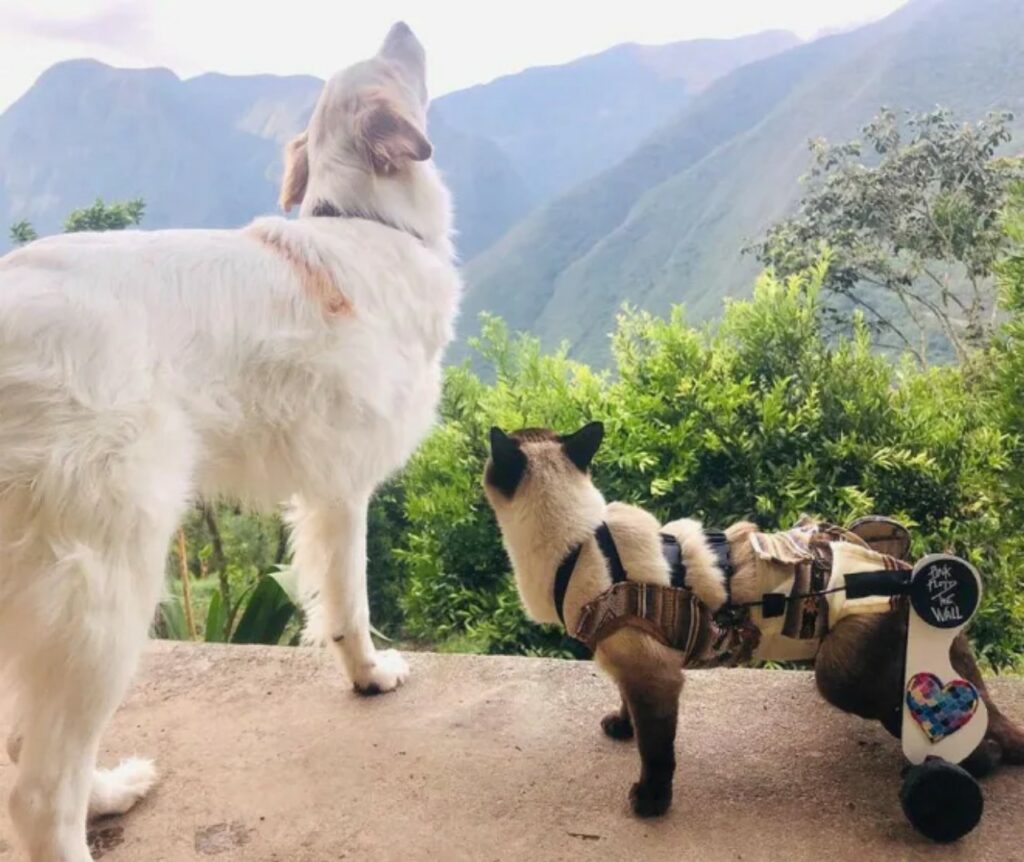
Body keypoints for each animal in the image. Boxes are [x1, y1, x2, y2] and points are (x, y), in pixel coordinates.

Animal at [0, 23, 458, 855]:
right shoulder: (343, 488)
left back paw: (109, 789)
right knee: (38, 790)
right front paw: (370, 676)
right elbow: (350, 602)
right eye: (391, 64)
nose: (404, 27)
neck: (367, 223)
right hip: (103, 585)